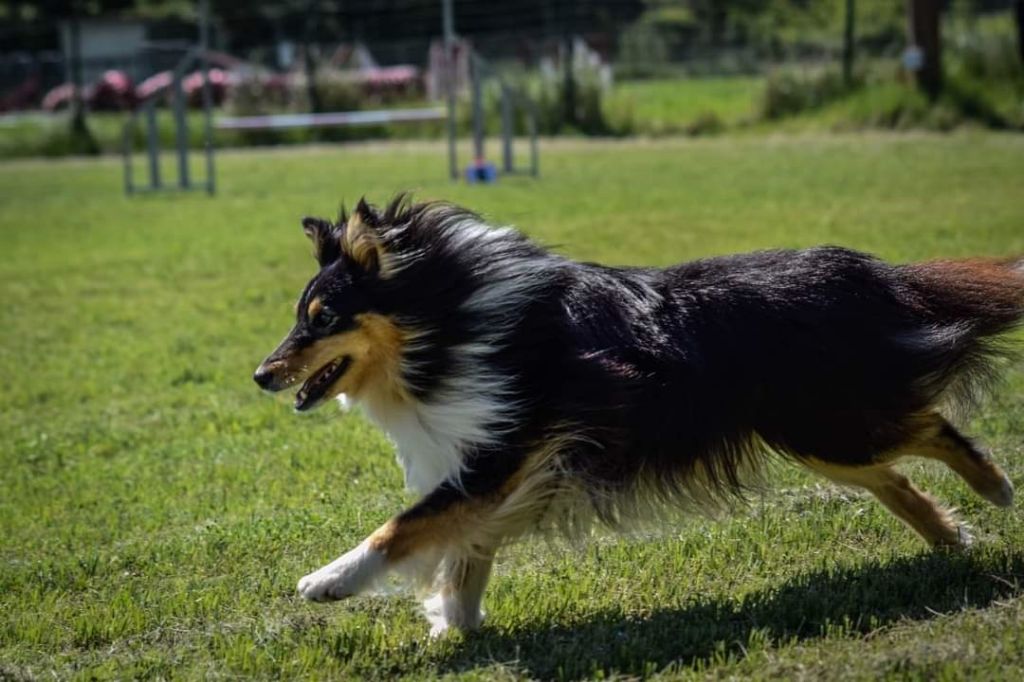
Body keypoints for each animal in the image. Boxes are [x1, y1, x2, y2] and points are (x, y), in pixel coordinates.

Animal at [253, 195, 1024, 630]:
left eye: (322, 319)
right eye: (300, 316)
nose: (261, 374)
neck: (453, 322)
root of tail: (871, 273)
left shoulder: (509, 446)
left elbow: (404, 527)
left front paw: (328, 582)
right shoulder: (504, 466)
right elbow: (466, 546)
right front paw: (457, 623)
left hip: (827, 420)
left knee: (931, 428)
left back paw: (995, 488)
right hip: (817, 434)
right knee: (895, 473)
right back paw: (951, 538)